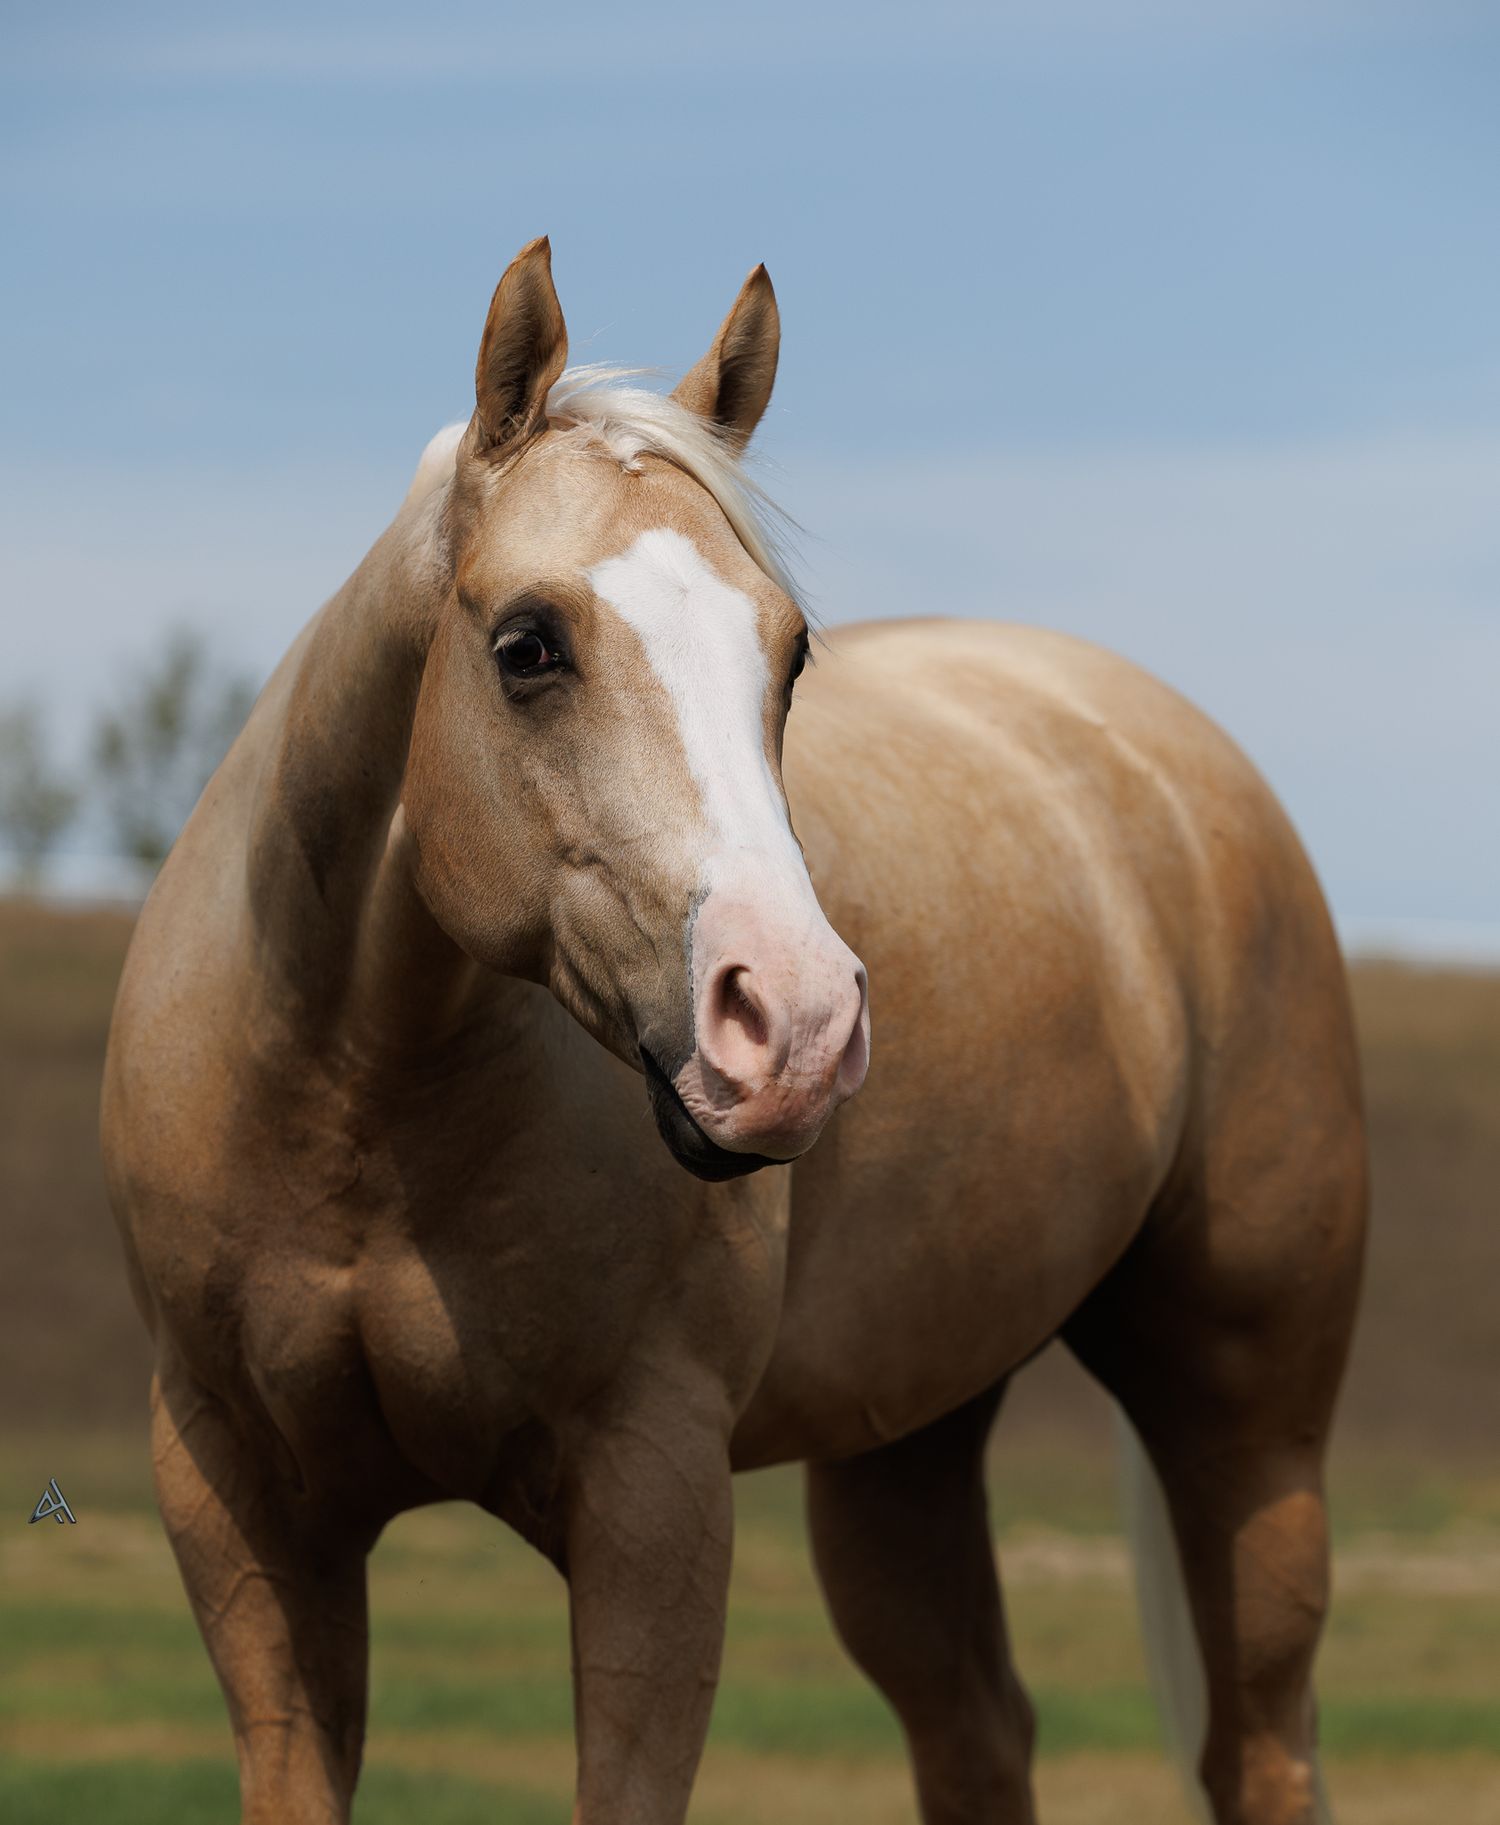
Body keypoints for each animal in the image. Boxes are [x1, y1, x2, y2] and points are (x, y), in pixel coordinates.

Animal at [101, 237, 1366, 1825]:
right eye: (528, 644)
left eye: (793, 650)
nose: (800, 1024)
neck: (352, 1100)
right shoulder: (239, 1502)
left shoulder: (654, 1495)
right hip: (909, 1444)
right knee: (978, 1728)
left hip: (1251, 1423)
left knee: (1260, 1745)